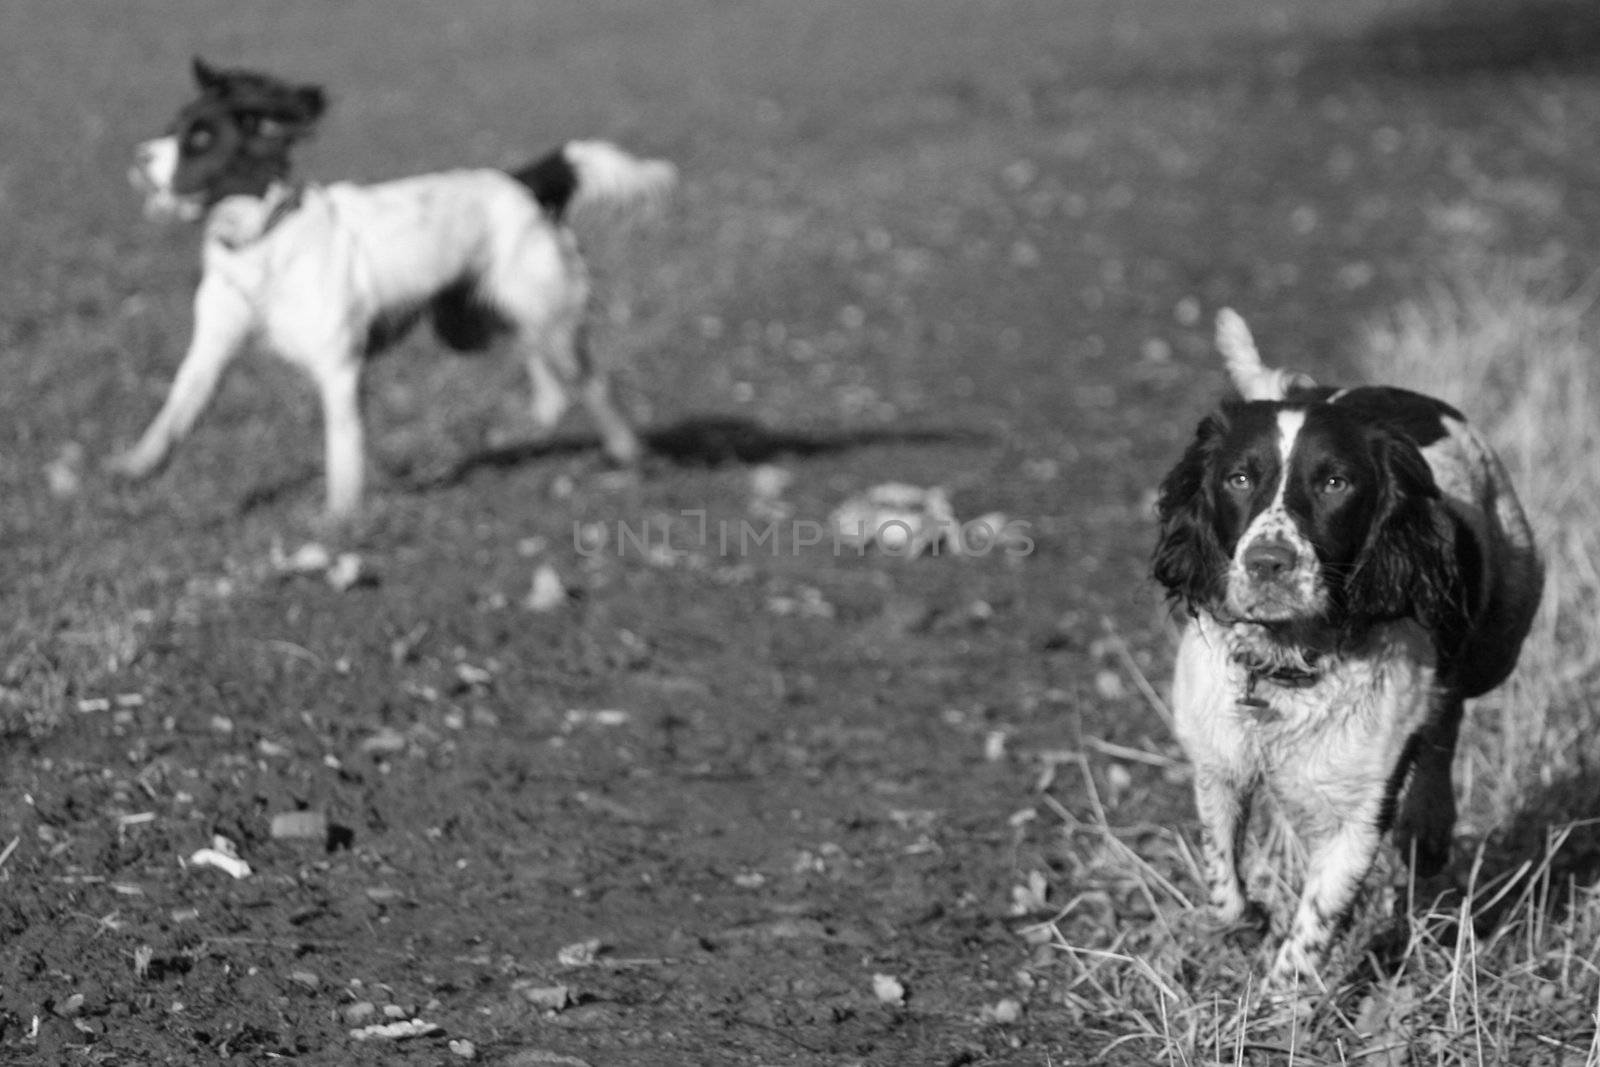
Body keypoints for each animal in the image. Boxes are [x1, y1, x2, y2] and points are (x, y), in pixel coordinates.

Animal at [114, 58, 675, 518]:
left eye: (201, 139)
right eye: (172, 129)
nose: (139, 157)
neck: (262, 243)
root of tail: (521, 184)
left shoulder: (339, 367)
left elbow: (342, 448)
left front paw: (339, 519)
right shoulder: (212, 347)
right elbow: (175, 414)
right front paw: (136, 465)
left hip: (544, 310)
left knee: (591, 379)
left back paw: (628, 451)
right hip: (467, 324)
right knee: (534, 352)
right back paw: (547, 409)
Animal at [1158, 308, 1542, 991]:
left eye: (1335, 483)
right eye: (1238, 478)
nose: (1268, 563)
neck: (1288, 660)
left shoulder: (1358, 813)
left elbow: (1311, 930)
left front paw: (1279, 1004)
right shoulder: (1217, 759)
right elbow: (1222, 880)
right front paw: (1250, 923)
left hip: (1505, 627)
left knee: (1449, 713)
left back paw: (1430, 825)